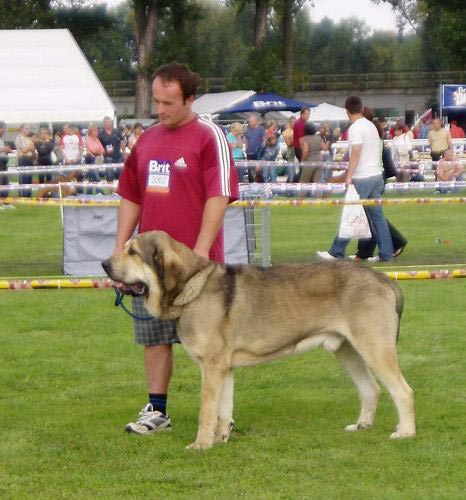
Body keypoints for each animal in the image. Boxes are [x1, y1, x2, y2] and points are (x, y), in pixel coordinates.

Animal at [102, 230, 416, 450]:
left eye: (133, 252)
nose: (104, 263)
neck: (192, 286)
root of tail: (385, 280)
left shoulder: (212, 367)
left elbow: (207, 410)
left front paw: (201, 444)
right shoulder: (224, 368)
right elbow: (223, 409)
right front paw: (220, 439)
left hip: (374, 348)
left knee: (402, 390)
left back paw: (405, 432)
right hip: (348, 351)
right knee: (371, 389)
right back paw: (362, 426)